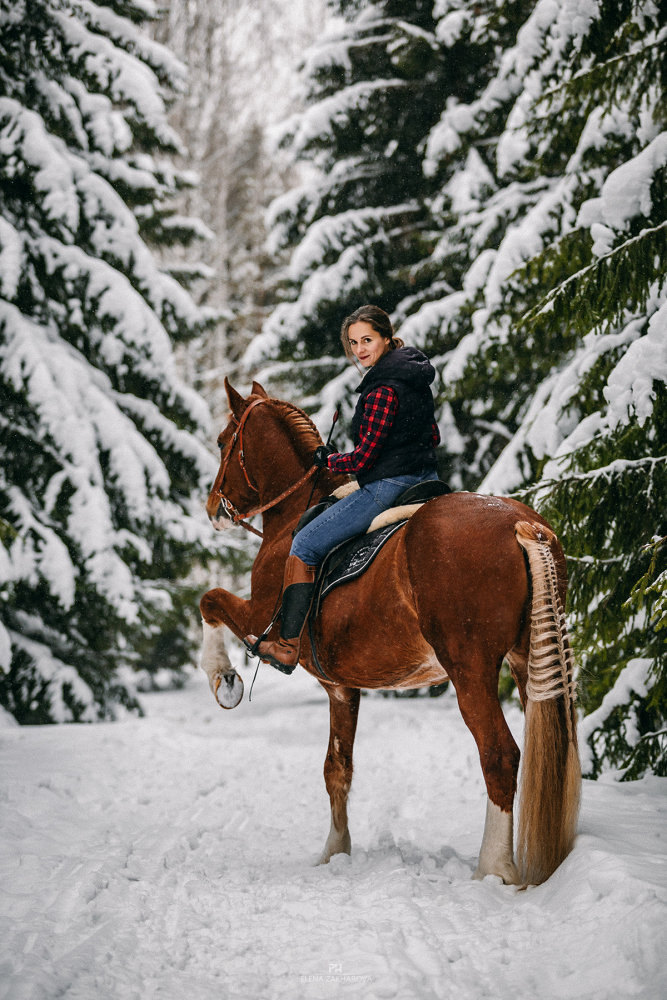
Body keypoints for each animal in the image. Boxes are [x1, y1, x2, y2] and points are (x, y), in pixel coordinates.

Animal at [200, 376, 580, 884]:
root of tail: (523, 524)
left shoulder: (257, 617)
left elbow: (209, 600)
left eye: (224, 441)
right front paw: (335, 851)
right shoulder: (341, 689)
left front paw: (224, 680)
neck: (294, 514)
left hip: (471, 670)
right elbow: (336, 768)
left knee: (500, 755)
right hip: (530, 660)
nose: (212, 508)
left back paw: (495, 868)